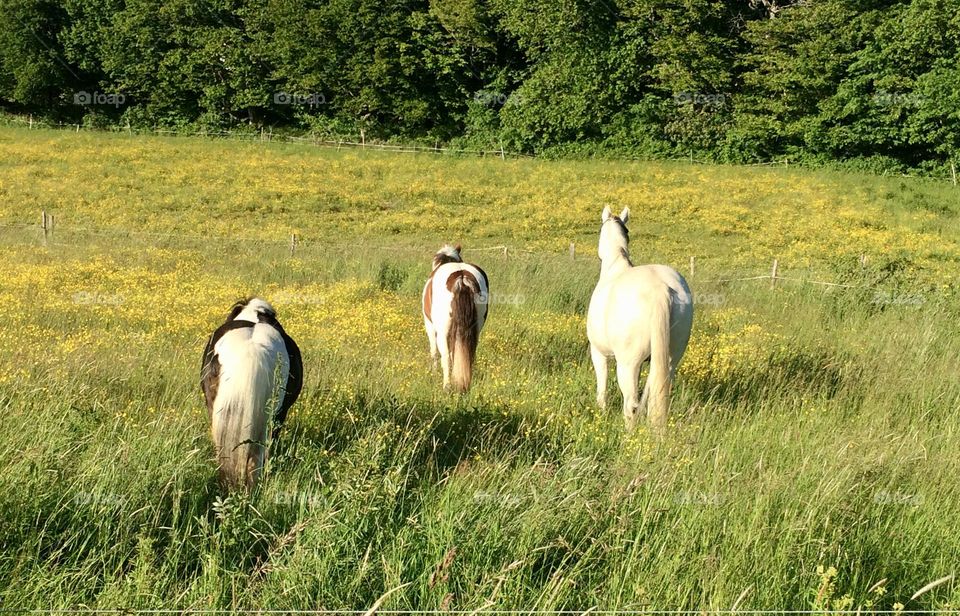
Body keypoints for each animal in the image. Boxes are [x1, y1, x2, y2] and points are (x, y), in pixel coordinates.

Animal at [422, 244, 489, 392]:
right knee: (470, 354)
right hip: (475, 331)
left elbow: (434, 352)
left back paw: (447, 386)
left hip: (442, 332)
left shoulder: (429, 326)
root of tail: (462, 278)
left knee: (445, 356)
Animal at [586, 207, 693, 431]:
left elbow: (602, 388)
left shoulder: (598, 353)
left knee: (631, 405)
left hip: (628, 365)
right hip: (669, 361)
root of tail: (659, 287)